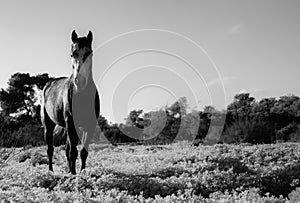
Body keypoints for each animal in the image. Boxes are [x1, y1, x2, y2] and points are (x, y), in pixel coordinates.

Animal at [40, 30, 101, 174]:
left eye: (89, 53)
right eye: (72, 54)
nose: (80, 81)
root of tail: (48, 84)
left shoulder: (90, 125)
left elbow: (83, 152)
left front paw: (82, 172)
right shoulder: (71, 123)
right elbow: (73, 152)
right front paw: (73, 174)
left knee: (67, 149)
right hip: (49, 126)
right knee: (50, 149)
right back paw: (51, 171)